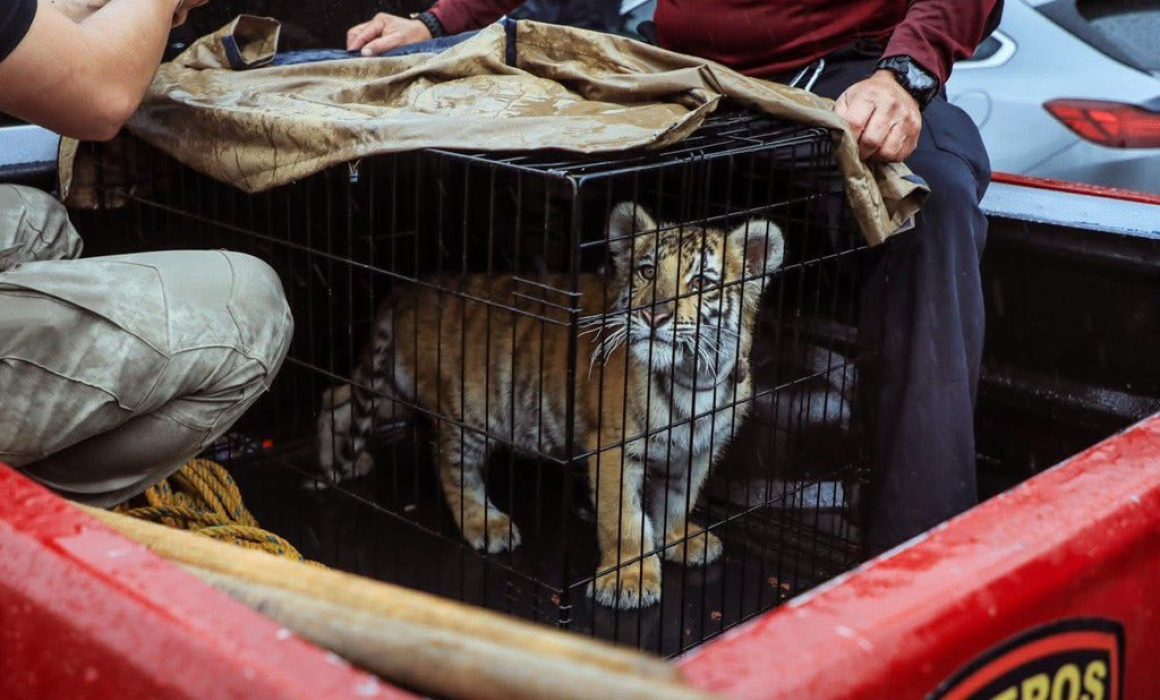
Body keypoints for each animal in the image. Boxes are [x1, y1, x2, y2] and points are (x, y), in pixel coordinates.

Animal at [317, 202, 785, 609]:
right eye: (647, 271)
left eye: (702, 283)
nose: (654, 317)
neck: (694, 376)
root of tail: (411, 287)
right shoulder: (614, 447)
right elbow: (624, 518)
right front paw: (628, 580)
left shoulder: (700, 450)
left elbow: (676, 500)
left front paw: (677, 540)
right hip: (465, 412)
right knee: (455, 472)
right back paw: (485, 523)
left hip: (393, 389)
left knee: (334, 398)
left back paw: (339, 462)